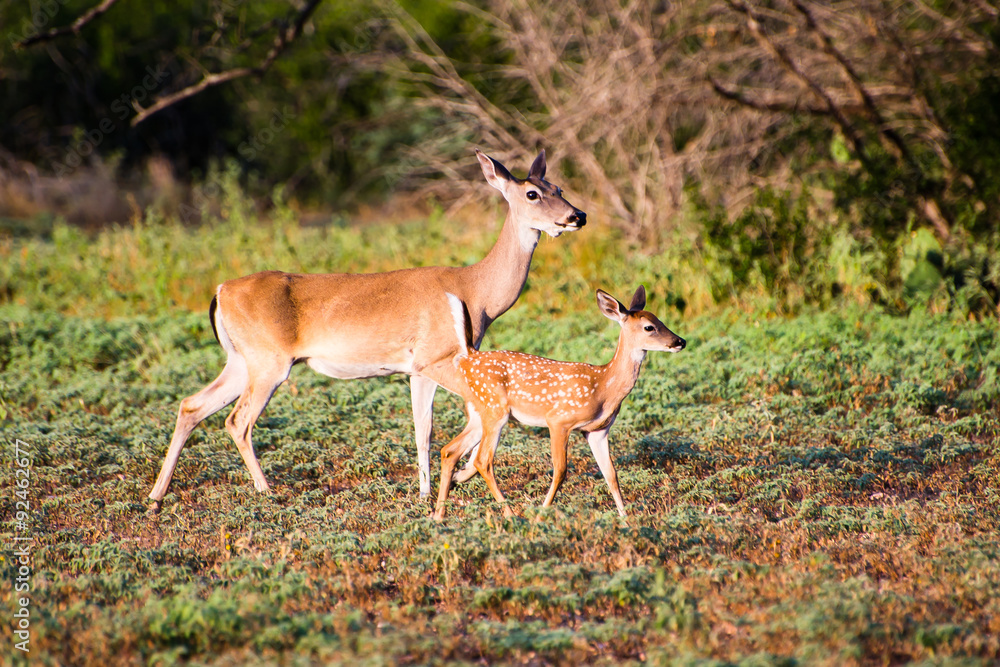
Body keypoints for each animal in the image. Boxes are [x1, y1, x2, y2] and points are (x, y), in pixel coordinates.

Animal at [148, 150, 584, 512]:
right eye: (532, 193)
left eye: (559, 188)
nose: (576, 216)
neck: (474, 292)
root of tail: (220, 291)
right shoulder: (434, 357)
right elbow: (461, 418)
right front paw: (455, 480)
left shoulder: (418, 369)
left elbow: (422, 430)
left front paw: (427, 492)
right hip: (268, 361)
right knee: (238, 421)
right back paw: (266, 491)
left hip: (241, 360)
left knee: (192, 405)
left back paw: (156, 497)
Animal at [434, 288, 684, 520]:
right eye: (649, 327)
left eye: (660, 320)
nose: (680, 341)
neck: (603, 386)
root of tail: (468, 356)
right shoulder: (559, 420)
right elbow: (561, 471)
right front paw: (542, 513)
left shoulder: (598, 430)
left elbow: (611, 474)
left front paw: (625, 518)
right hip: (495, 409)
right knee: (482, 461)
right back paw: (510, 514)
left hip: (480, 412)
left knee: (449, 450)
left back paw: (438, 515)